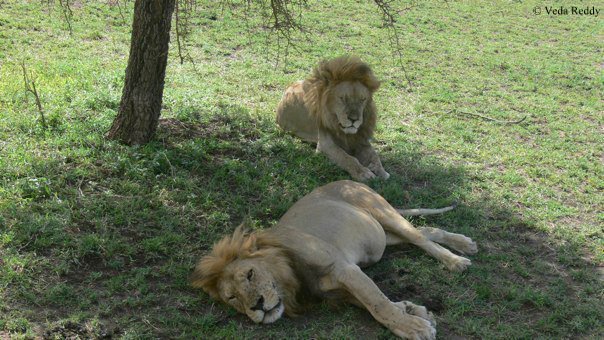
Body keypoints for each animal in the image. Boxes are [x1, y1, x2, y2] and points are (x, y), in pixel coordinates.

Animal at [192, 179, 476, 338]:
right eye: (232, 298)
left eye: (250, 274)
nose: (257, 306)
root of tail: (350, 180)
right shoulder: (339, 290)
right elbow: (377, 303)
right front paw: (413, 311)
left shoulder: (344, 269)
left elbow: (378, 305)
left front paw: (414, 328)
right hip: (381, 237)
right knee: (426, 231)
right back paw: (464, 243)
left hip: (383, 214)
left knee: (421, 239)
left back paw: (456, 260)